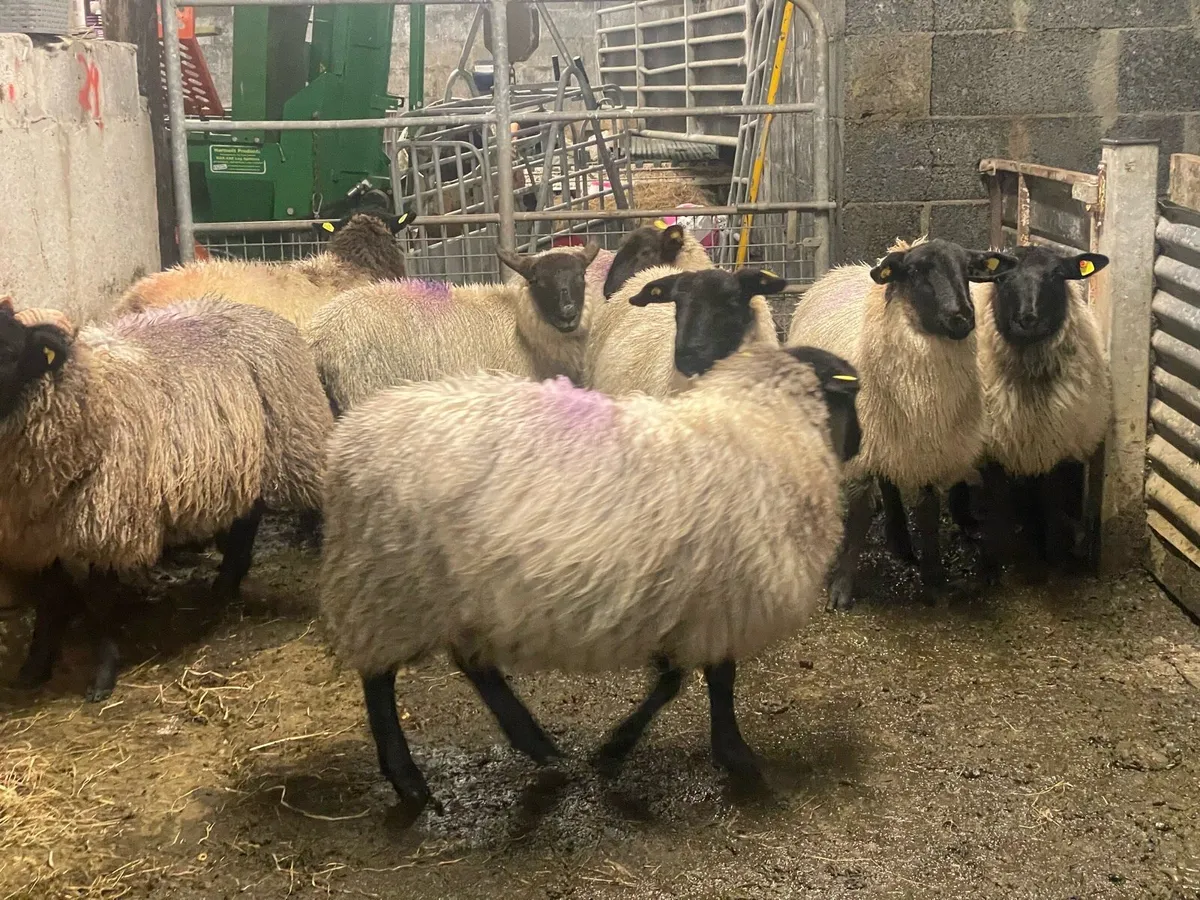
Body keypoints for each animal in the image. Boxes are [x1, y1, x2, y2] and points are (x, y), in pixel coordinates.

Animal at [0, 296, 333, 701]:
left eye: (9, 353)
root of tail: (249, 308)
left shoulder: (111, 518)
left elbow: (99, 601)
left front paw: (102, 676)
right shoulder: (37, 530)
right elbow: (49, 600)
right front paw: (34, 666)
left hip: (290, 441)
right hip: (239, 459)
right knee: (247, 516)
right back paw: (226, 582)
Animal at [319, 343, 862, 813]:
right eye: (852, 396)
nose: (859, 444)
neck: (768, 423)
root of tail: (348, 440)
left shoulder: (691, 603)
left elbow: (674, 680)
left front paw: (618, 747)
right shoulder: (720, 603)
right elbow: (708, 681)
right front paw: (730, 753)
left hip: (452, 591)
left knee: (472, 664)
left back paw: (534, 742)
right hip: (391, 585)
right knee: (380, 680)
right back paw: (408, 779)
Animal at [786, 237, 1018, 609]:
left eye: (967, 270)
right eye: (915, 270)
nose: (962, 317)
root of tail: (840, 270)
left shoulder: (926, 449)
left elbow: (927, 513)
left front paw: (934, 580)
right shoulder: (863, 452)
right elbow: (860, 516)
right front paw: (841, 588)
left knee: (890, 484)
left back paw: (901, 543)